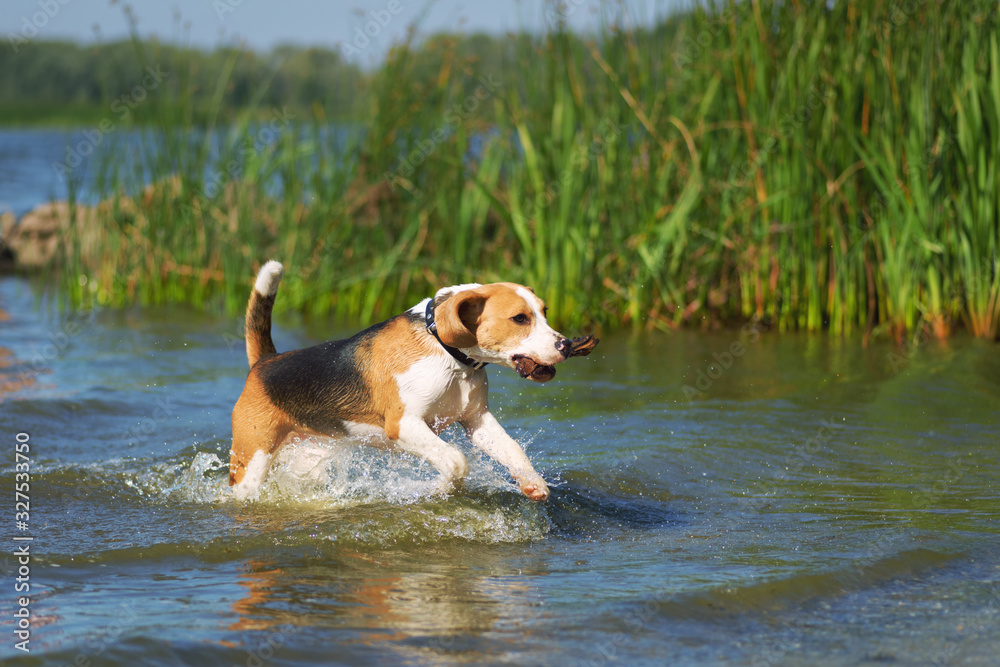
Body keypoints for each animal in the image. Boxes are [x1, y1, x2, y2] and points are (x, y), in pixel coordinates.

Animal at [230, 264, 576, 504]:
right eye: (520, 319)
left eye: (544, 312)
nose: (567, 345)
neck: (447, 353)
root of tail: (266, 362)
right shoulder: (404, 424)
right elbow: (456, 460)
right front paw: (435, 488)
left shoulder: (477, 420)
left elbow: (513, 449)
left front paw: (532, 483)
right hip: (251, 461)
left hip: (310, 455)